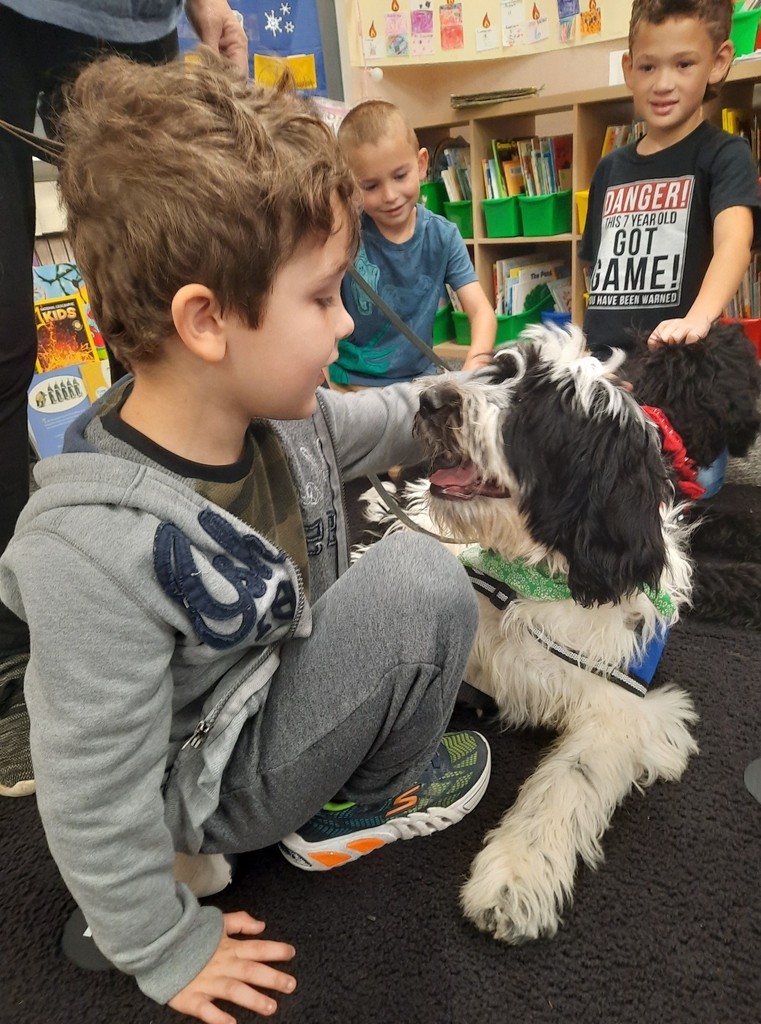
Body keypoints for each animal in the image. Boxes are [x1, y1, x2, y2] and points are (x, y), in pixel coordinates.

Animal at [366, 325, 700, 942]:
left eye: (540, 411)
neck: (529, 581)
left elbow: (567, 782)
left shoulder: (621, 707)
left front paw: (513, 879)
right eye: (499, 372)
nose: (431, 398)